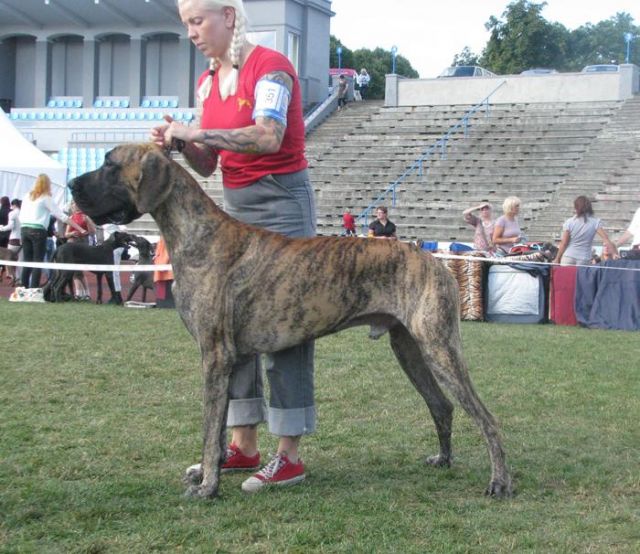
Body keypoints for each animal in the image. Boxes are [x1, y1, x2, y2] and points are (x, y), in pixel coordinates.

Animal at [70, 143, 512, 500]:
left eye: (110, 164)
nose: (72, 184)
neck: (198, 233)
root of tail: (434, 259)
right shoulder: (230, 359)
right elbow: (221, 427)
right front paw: (215, 471)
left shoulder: (214, 356)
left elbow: (209, 428)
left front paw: (208, 486)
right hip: (409, 349)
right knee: (442, 405)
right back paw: (444, 459)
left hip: (440, 348)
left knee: (488, 418)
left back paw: (500, 482)